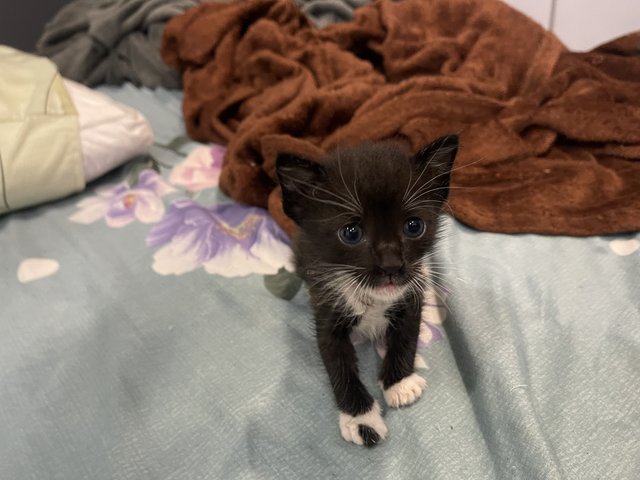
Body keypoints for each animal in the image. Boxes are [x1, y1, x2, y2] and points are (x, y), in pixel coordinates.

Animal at [278, 134, 458, 446]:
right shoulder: (325, 306)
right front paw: (361, 419)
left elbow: (407, 335)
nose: (391, 265)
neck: (373, 300)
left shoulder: (413, 292)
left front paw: (400, 383)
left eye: (414, 226)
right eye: (351, 233)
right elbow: (337, 363)